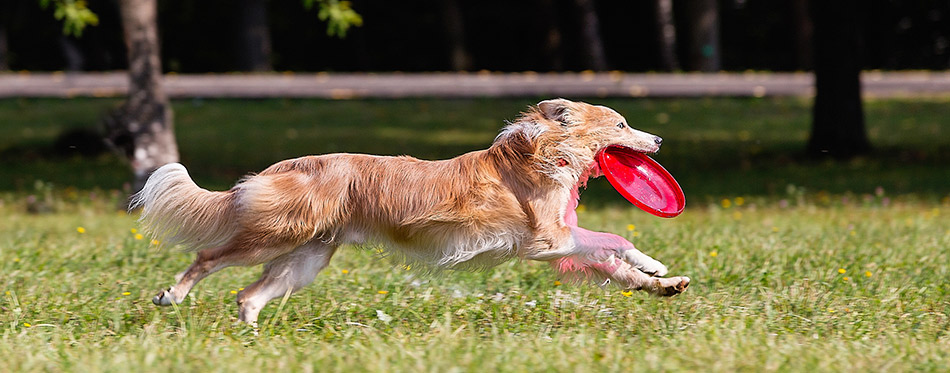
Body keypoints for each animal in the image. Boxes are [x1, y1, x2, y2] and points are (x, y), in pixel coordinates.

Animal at [130, 98, 688, 322]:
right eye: (621, 124)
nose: (660, 139)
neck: (543, 150)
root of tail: (287, 163)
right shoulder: (548, 240)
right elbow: (614, 241)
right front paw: (656, 264)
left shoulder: (559, 245)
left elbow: (614, 265)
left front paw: (664, 282)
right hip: (274, 236)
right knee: (207, 259)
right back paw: (171, 296)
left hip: (306, 258)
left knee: (248, 295)